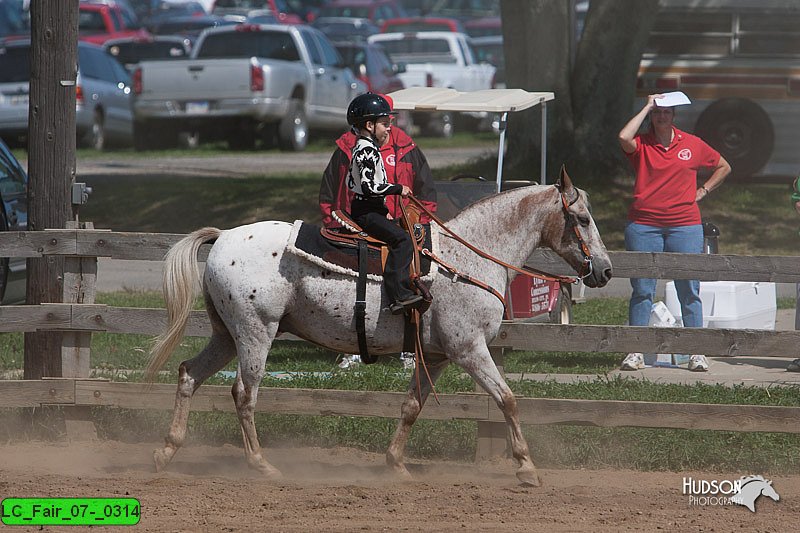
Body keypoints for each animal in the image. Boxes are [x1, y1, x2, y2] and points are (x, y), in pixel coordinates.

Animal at [145, 167, 612, 486]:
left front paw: (396, 464)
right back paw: (261, 464)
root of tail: (223, 236)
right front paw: (528, 468)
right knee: (243, 393)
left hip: (226, 335)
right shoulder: (469, 349)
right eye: (583, 219)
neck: (465, 259)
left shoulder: (436, 356)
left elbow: (411, 407)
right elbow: (509, 400)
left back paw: (166, 453)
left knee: (189, 375)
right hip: (255, 333)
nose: (605, 271)